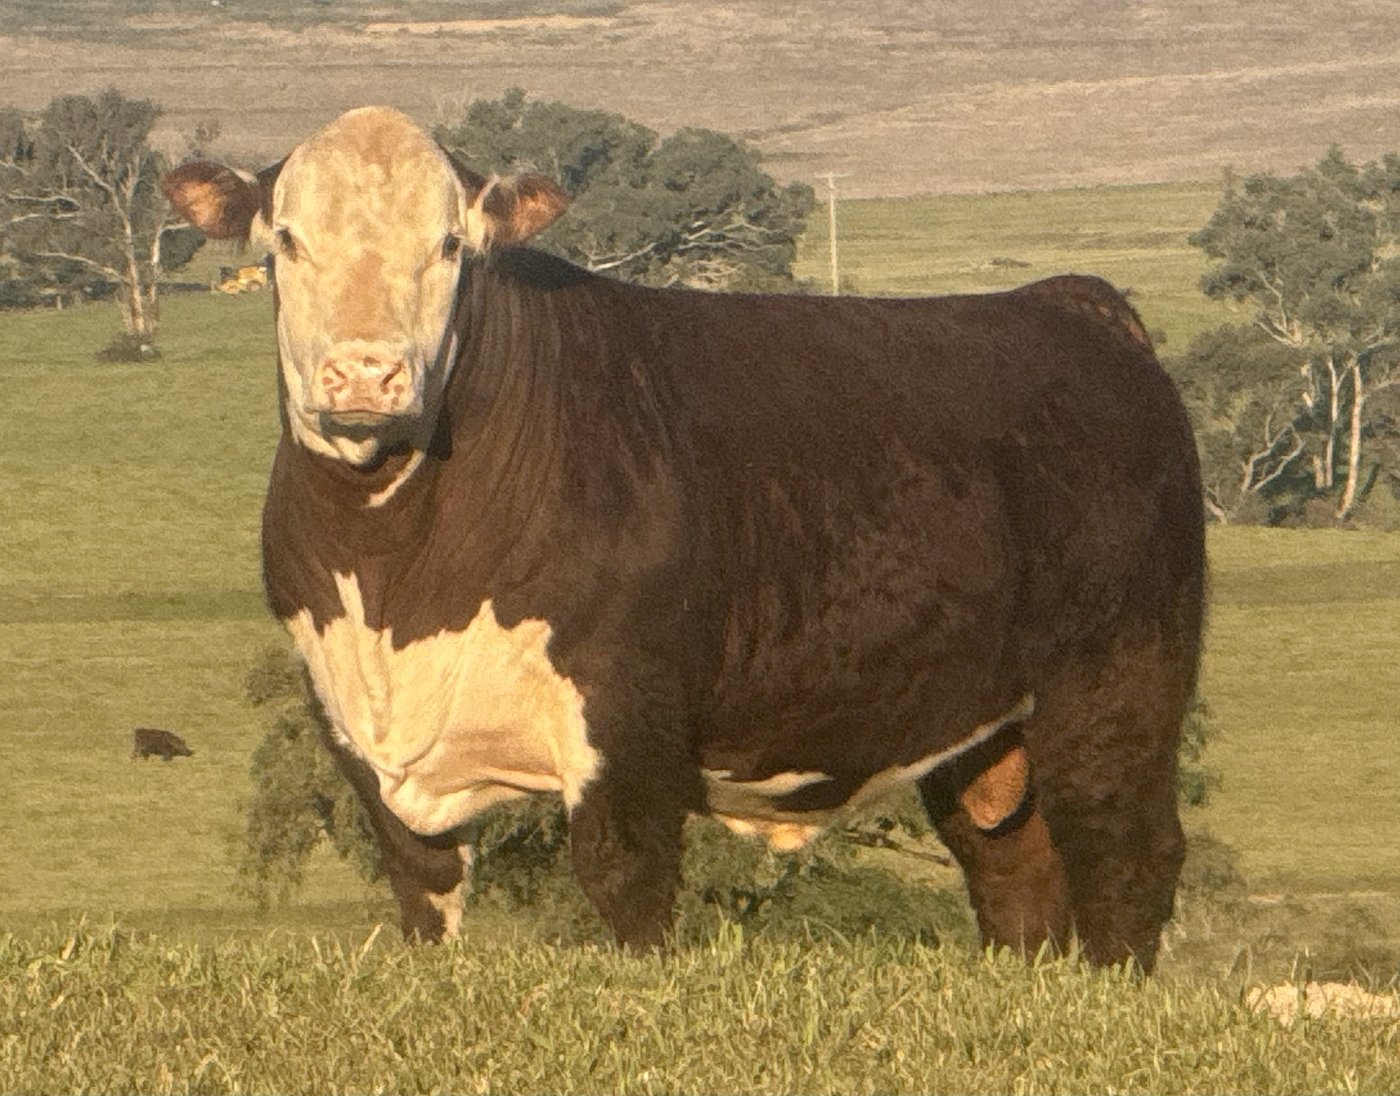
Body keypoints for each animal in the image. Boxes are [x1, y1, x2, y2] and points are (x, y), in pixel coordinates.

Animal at [161, 106, 1204, 970]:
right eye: (289, 240)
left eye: (451, 243)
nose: (365, 374)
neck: (395, 572)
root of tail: (1069, 306)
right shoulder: (353, 725)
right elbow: (423, 895)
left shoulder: (628, 717)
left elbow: (626, 885)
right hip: (981, 727)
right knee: (1013, 867)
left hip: (1120, 679)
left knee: (1125, 850)